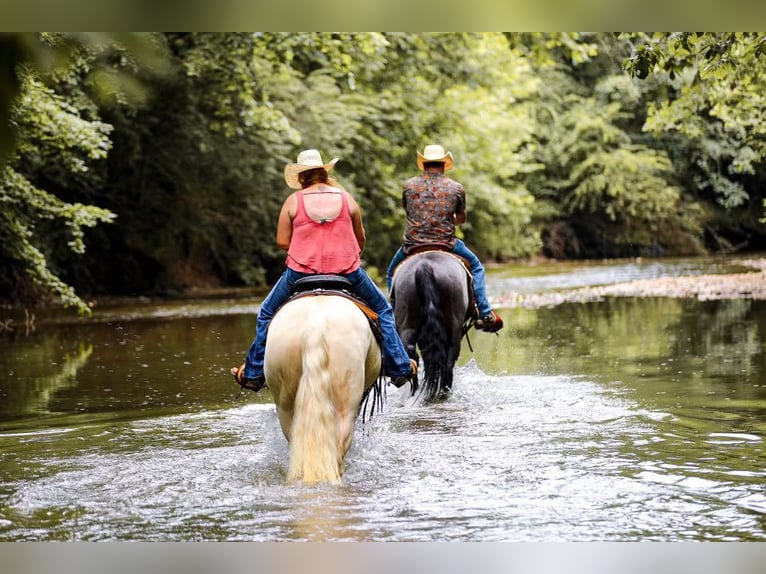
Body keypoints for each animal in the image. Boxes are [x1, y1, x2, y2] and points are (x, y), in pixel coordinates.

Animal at [392, 250, 476, 402]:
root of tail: (424, 267)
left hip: (407, 324)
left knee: (412, 352)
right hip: (453, 327)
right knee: (448, 361)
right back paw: (443, 392)